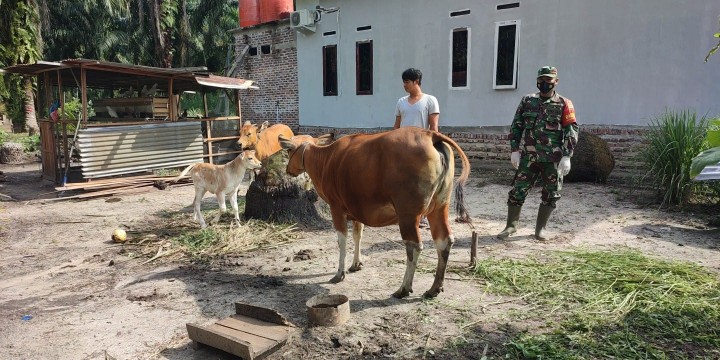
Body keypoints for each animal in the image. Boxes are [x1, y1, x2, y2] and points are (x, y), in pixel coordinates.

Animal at [278, 127, 470, 298]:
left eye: (288, 150)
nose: (288, 170)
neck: (325, 160)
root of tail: (431, 134)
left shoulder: (336, 208)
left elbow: (342, 241)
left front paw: (339, 273)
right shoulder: (356, 209)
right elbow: (358, 235)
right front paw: (356, 264)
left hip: (408, 214)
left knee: (414, 246)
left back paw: (403, 288)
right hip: (440, 207)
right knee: (444, 241)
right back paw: (434, 288)